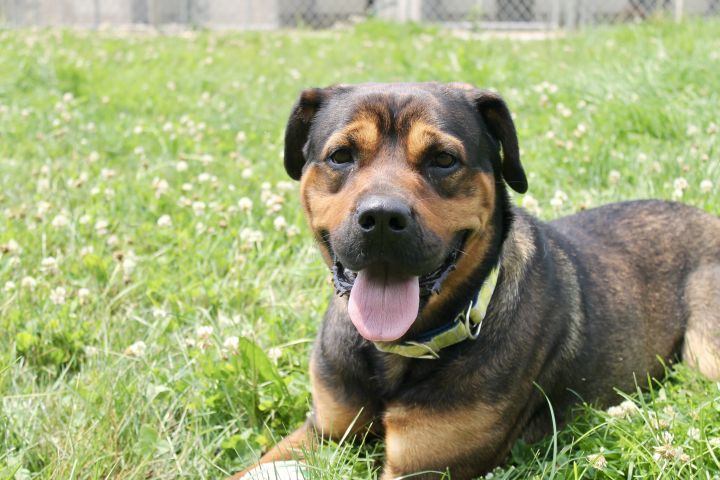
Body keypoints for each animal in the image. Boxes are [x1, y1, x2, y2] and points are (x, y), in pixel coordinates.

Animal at [231, 83, 720, 480]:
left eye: (444, 160)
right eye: (341, 156)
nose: (383, 218)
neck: (397, 350)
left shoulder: (423, 466)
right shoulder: (322, 430)